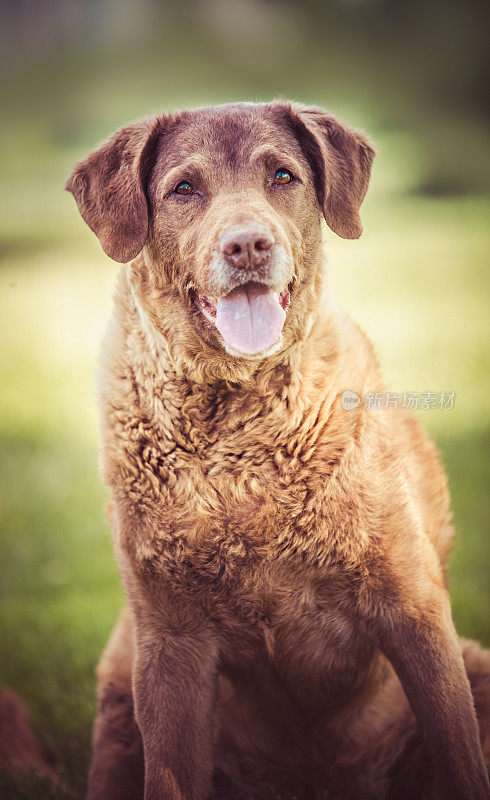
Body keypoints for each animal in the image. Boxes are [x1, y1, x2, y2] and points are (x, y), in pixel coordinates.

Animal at [66, 103, 490, 800]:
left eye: (283, 176)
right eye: (184, 188)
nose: (247, 245)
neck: (238, 435)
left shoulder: (414, 610)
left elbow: (459, 757)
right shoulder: (170, 645)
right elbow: (170, 775)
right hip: (119, 695)